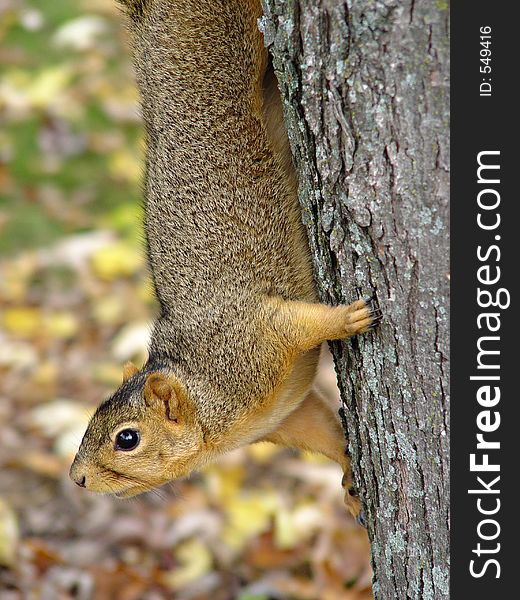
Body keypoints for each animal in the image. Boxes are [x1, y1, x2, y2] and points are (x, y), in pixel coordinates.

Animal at [69, 0, 380, 520]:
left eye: (126, 439)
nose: (77, 478)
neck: (205, 392)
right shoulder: (287, 415)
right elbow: (323, 431)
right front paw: (350, 477)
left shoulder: (252, 336)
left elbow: (299, 323)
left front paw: (349, 318)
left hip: (226, 43)